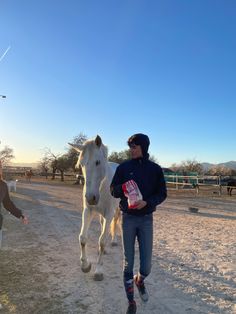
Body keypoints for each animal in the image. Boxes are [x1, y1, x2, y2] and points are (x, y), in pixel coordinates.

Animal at [68, 136, 120, 280]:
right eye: (81, 164)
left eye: (97, 162)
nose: (91, 198)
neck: (102, 187)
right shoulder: (88, 211)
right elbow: (82, 238)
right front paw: (85, 265)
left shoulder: (109, 213)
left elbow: (102, 241)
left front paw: (98, 271)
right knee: (103, 225)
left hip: (117, 210)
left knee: (116, 223)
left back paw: (114, 241)